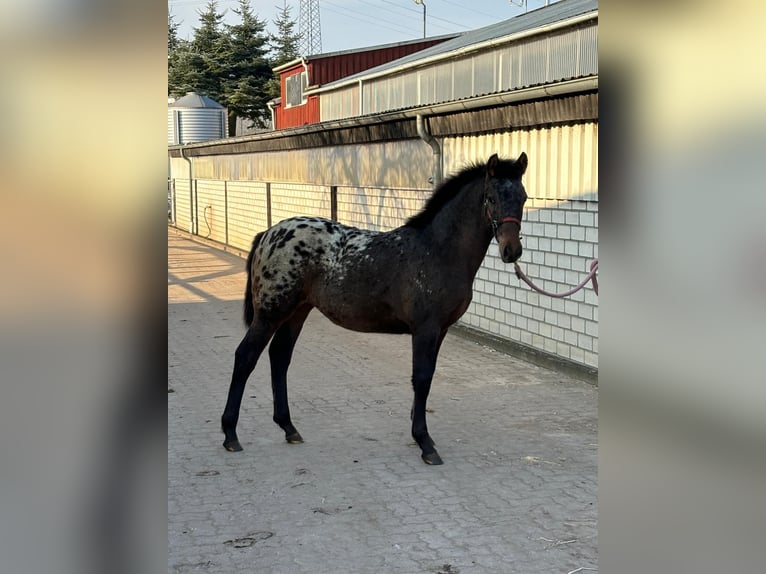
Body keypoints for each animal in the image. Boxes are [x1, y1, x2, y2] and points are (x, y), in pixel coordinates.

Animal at [222, 154, 528, 468]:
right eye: (490, 198)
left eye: (523, 198)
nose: (511, 251)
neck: (437, 251)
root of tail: (268, 234)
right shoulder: (425, 329)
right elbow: (421, 378)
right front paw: (424, 443)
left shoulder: (441, 330)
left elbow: (427, 378)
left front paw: (421, 436)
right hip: (271, 312)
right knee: (245, 357)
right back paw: (230, 434)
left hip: (297, 311)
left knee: (280, 356)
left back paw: (288, 427)